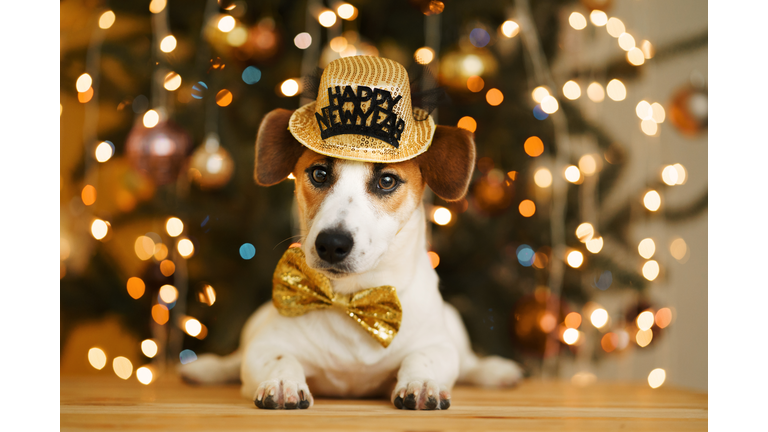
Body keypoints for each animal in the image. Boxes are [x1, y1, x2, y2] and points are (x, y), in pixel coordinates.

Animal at [180, 56, 520, 408]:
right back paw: (206, 368)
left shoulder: (437, 345)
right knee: (233, 360)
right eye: (318, 173)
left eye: (387, 181)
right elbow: (279, 358)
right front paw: (283, 382)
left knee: (469, 362)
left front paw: (422, 382)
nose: (332, 244)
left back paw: (495, 371)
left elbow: (423, 357)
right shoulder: (264, 346)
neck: (351, 297)